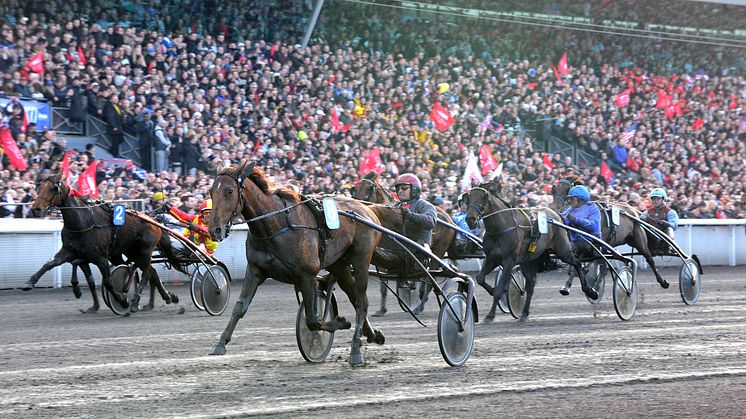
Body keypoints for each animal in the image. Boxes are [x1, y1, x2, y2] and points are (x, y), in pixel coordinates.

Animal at [24, 175, 187, 316]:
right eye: (39, 188)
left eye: (52, 188)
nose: (35, 209)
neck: (83, 222)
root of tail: (153, 220)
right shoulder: (69, 251)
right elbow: (50, 263)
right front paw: (29, 282)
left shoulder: (101, 257)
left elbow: (108, 282)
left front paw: (122, 300)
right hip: (131, 252)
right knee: (151, 272)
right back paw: (166, 297)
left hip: (145, 250)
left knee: (147, 273)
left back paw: (135, 303)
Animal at [208, 162, 384, 366]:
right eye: (211, 191)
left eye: (229, 191)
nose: (214, 229)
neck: (275, 225)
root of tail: (368, 210)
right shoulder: (255, 270)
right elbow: (239, 307)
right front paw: (220, 343)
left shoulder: (307, 275)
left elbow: (313, 320)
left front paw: (340, 323)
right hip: (339, 265)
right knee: (355, 297)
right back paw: (372, 335)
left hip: (361, 258)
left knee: (362, 301)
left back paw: (356, 350)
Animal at [352, 171, 456, 316]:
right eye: (357, 187)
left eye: (369, 188)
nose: (357, 203)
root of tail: (449, 219)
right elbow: (383, 285)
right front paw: (381, 309)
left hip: (439, 251)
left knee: (430, 281)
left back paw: (419, 307)